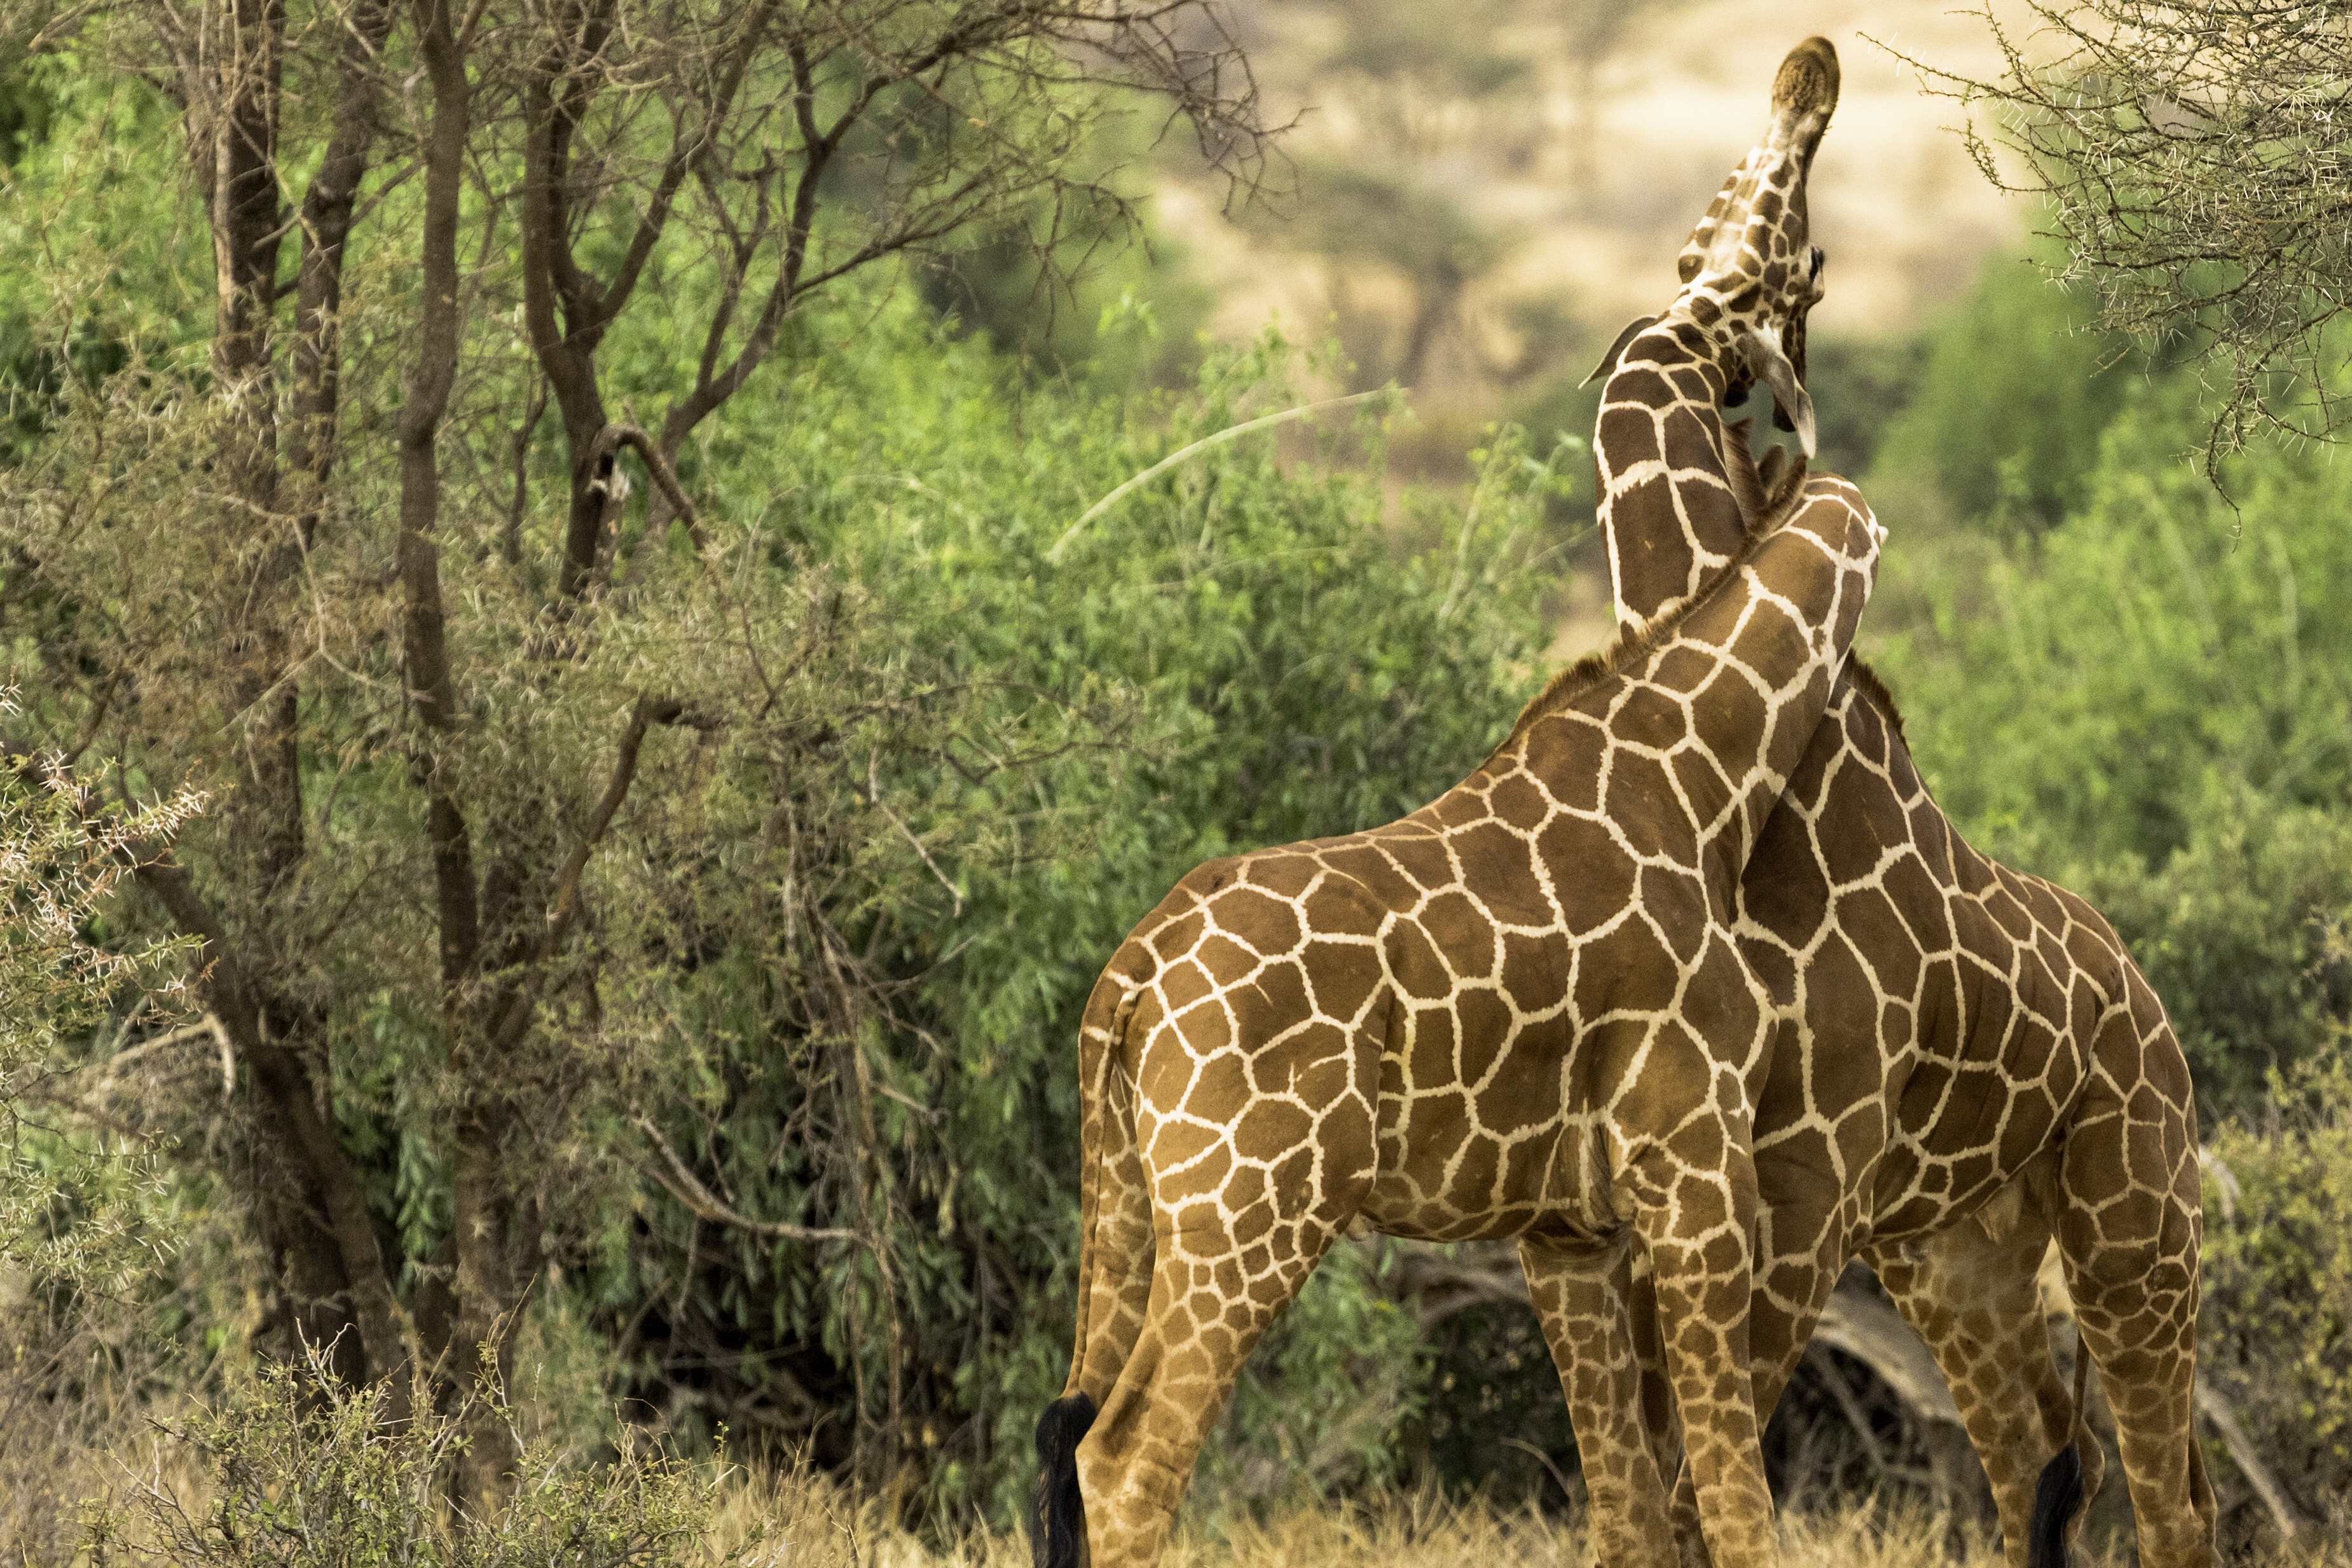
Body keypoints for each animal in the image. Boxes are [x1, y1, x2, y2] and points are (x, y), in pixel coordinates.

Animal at [1030, 58, 1872, 1560]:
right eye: (1797, 261)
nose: (1808, 67)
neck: (1701, 769)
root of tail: (1128, 984)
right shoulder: (1697, 1185)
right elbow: (1733, 1503)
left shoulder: (1568, 1230)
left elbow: (1631, 1511)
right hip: (1252, 1210)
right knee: (1125, 1461)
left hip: (1126, 1203)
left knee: (1066, 1432)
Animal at [1580, 36, 2220, 1568]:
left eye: (1796, 250)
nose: (1805, 65)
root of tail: (2149, 1003)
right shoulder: (1682, 1184)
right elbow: (1641, 1499)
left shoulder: (1801, 1185)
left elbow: (1693, 1490)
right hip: (1957, 1254)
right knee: (2038, 1464)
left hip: (2131, 1221)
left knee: (2172, 1494)